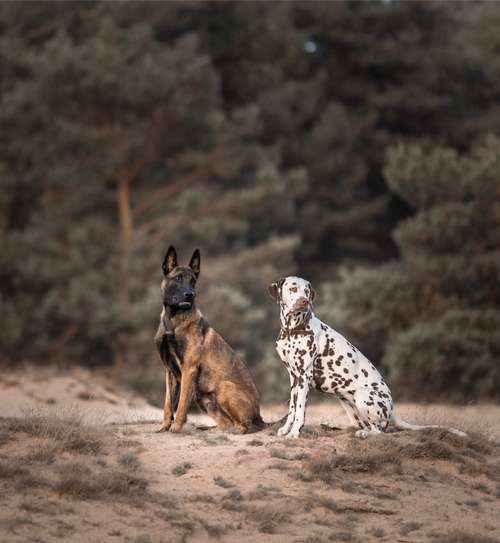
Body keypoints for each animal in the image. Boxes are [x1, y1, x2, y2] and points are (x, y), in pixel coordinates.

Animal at [154, 246, 264, 434]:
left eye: (193, 280)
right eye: (178, 278)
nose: (190, 295)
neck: (173, 320)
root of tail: (260, 417)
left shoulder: (188, 369)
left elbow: (181, 404)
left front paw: (176, 427)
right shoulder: (169, 371)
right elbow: (168, 404)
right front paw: (164, 427)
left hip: (224, 388)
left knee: (243, 426)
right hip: (204, 400)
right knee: (226, 423)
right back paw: (212, 429)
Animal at [268, 278, 466, 440]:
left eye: (306, 291)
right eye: (293, 288)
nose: (304, 301)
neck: (293, 330)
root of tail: (393, 409)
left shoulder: (304, 377)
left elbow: (300, 410)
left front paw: (294, 432)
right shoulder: (294, 378)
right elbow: (292, 408)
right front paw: (286, 429)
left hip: (362, 396)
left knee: (379, 430)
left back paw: (363, 433)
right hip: (347, 403)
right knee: (363, 425)